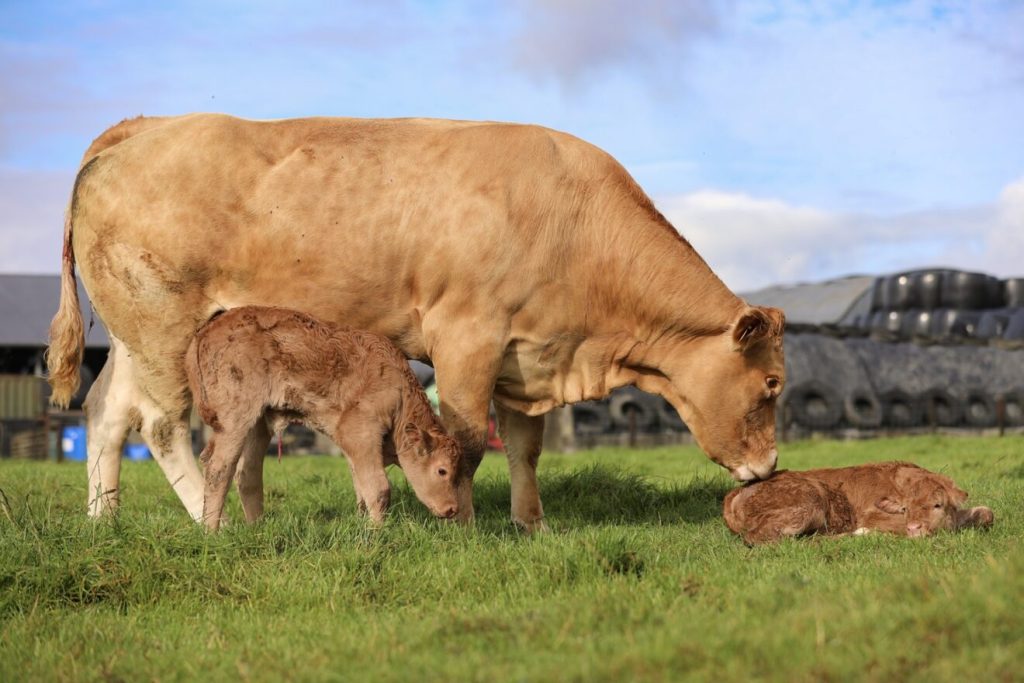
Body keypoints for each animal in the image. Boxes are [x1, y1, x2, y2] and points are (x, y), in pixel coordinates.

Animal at [186, 306, 461, 530]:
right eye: (442, 470)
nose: (452, 509)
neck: (398, 391)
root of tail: (207, 329)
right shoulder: (360, 433)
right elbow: (378, 488)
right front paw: (377, 532)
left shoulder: (355, 448)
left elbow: (360, 488)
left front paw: (363, 525)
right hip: (235, 420)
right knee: (219, 469)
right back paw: (212, 532)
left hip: (257, 424)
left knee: (246, 472)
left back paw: (257, 527)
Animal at [723, 462, 994, 545]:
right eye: (905, 509)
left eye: (938, 505)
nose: (915, 527)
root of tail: (736, 492)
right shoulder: (874, 515)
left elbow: (986, 513)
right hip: (809, 501)